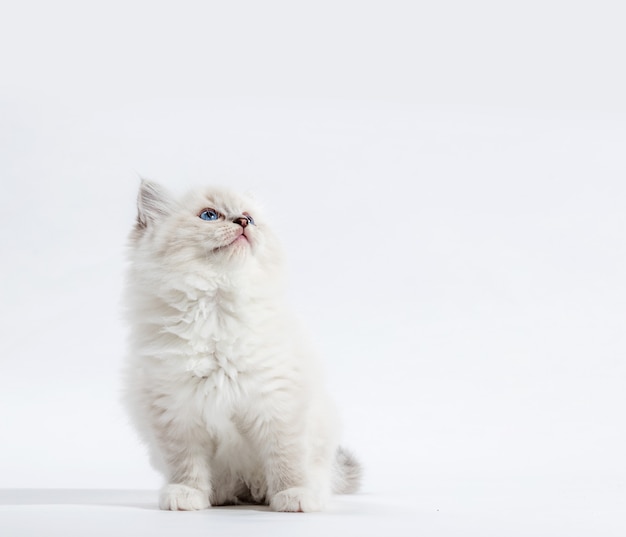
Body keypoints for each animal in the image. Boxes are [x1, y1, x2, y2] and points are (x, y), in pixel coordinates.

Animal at [122, 180, 360, 510]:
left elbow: (287, 460)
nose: (243, 223)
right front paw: (187, 495)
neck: (216, 311)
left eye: (250, 218)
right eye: (209, 215)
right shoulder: (176, 411)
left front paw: (294, 496)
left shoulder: (278, 404)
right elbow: (186, 465)